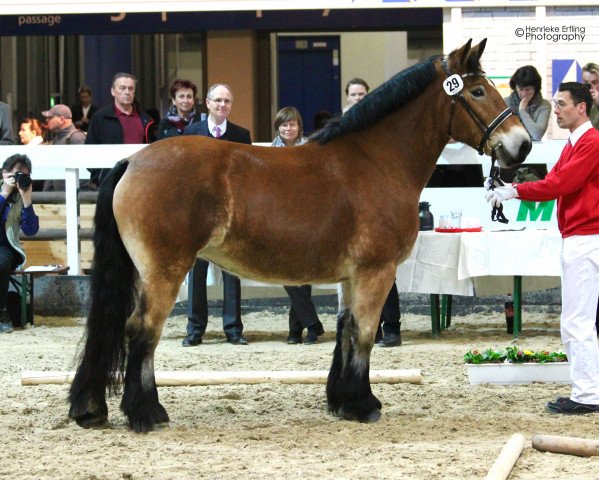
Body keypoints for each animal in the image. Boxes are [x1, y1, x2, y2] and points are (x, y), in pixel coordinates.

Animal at [68, 40, 532, 432]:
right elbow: (365, 333)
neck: (376, 160)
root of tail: (133, 160)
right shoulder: (376, 271)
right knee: (141, 331)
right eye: (477, 92)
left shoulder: (352, 276)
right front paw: (364, 404)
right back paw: (146, 413)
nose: (522, 144)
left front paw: (343, 400)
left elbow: (346, 329)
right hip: (165, 270)